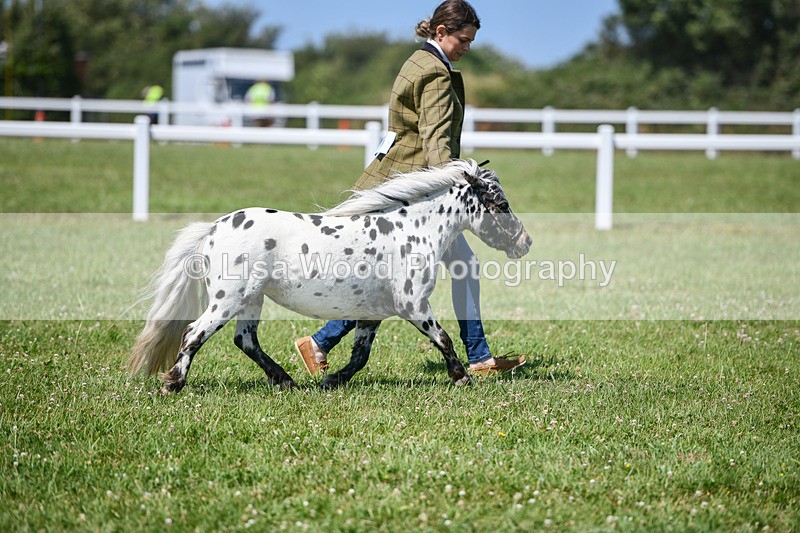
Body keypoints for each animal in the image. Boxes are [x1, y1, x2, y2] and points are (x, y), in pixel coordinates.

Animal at [128, 159, 532, 394]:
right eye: (502, 204)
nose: (525, 242)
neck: (412, 231)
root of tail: (213, 229)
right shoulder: (412, 304)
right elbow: (443, 338)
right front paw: (462, 376)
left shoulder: (373, 313)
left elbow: (360, 356)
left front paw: (331, 380)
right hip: (228, 300)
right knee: (194, 334)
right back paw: (173, 384)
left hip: (250, 301)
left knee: (245, 341)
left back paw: (286, 381)